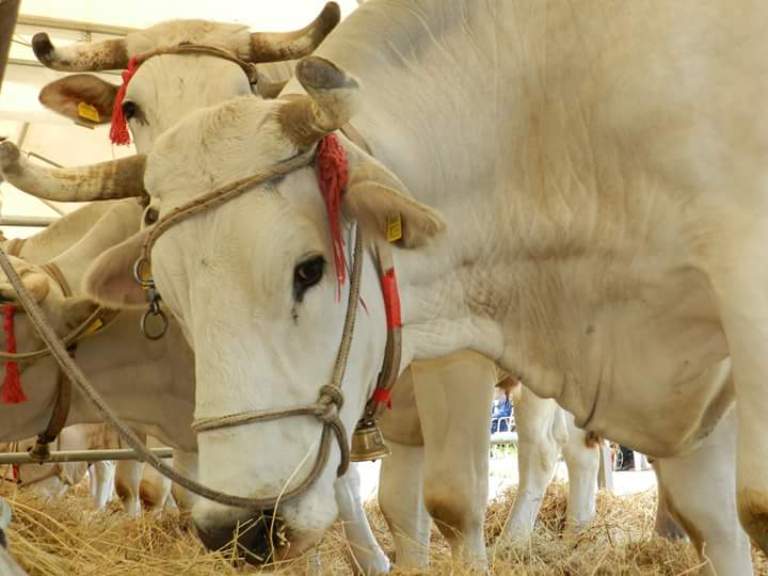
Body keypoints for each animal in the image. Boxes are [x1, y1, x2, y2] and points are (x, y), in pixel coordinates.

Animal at [37, 2, 760, 572]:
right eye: (133, 106)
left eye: (310, 268)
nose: (242, 527)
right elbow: (381, 497)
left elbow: (452, 499)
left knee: (551, 452)